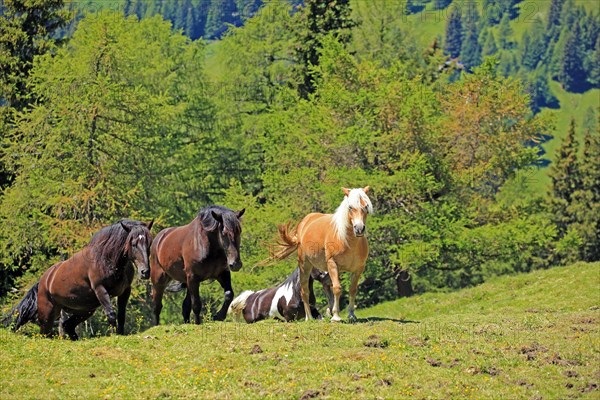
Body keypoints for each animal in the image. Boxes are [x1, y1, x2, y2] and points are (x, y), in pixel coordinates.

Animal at [270, 188, 370, 322]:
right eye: (350, 207)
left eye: (366, 206)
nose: (359, 229)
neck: (347, 241)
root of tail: (304, 222)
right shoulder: (332, 264)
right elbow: (337, 288)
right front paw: (336, 317)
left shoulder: (358, 269)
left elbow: (352, 290)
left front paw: (351, 315)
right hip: (305, 266)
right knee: (305, 292)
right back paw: (309, 318)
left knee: (325, 285)